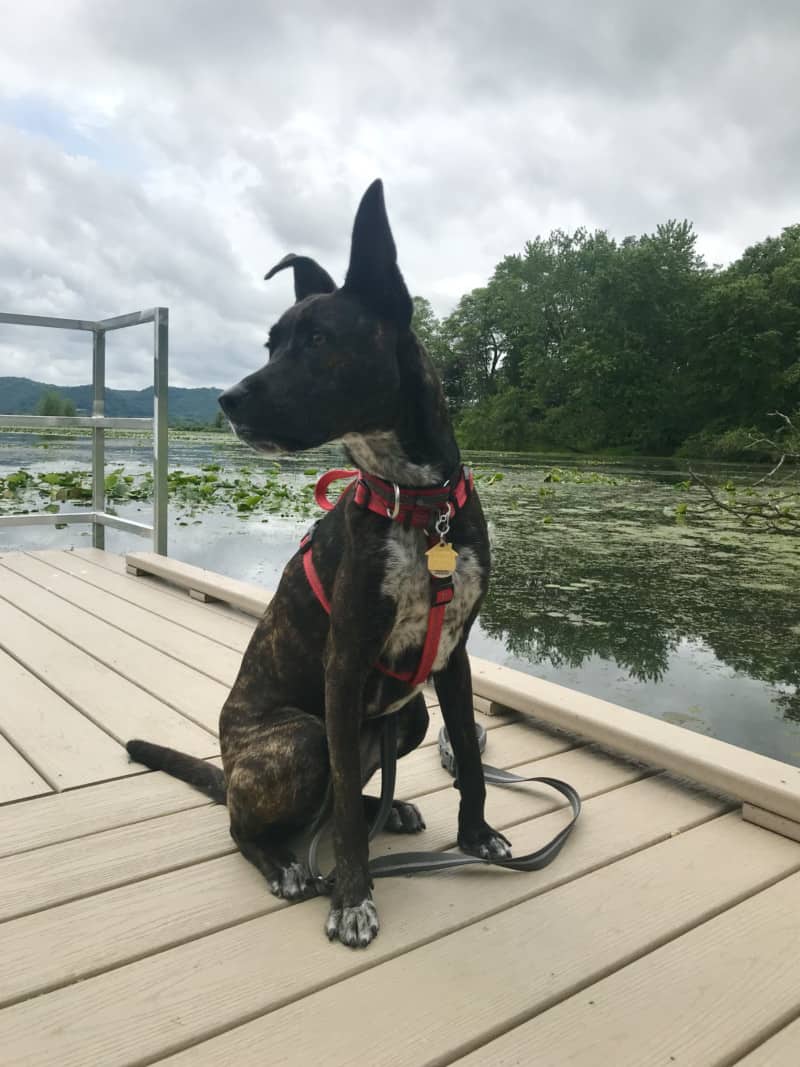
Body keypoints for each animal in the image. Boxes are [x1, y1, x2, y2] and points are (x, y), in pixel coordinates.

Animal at [128, 179, 509, 947]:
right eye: (272, 342)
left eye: (319, 340)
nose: (227, 400)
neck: (417, 504)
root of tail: (231, 766)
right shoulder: (344, 665)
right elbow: (347, 809)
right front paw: (354, 898)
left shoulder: (454, 656)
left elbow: (469, 753)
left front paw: (477, 834)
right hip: (299, 737)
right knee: (250, 822)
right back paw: (284, 862)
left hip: (403, 718)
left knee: (351, 791)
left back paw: (386, 809)